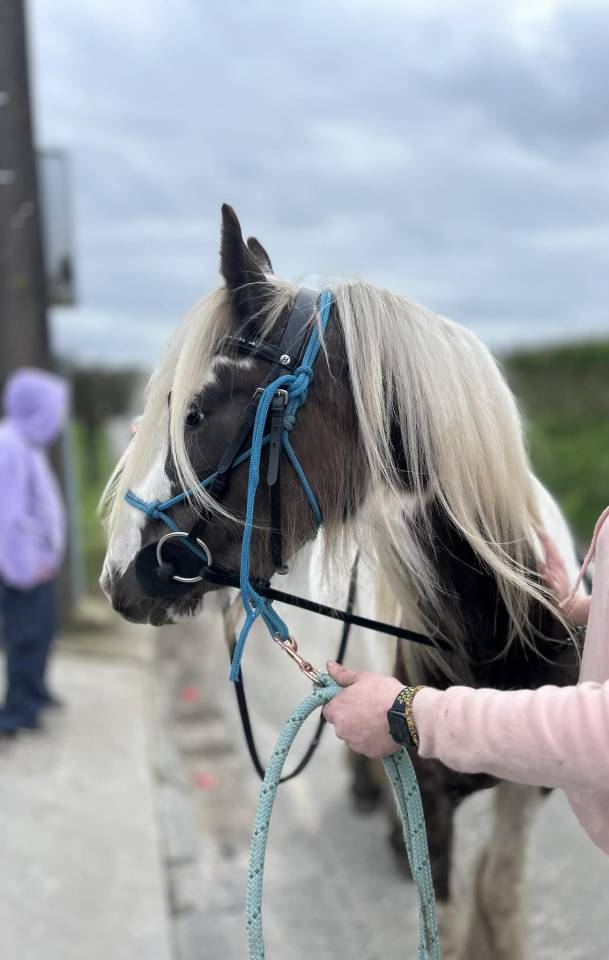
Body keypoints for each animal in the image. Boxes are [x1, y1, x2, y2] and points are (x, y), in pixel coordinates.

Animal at [100, 204, 583, 959]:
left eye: (197, 413)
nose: (118, 573)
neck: (499, 625)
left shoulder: (528, 787)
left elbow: (498, 894)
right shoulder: (432, 797)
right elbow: (440, 914)